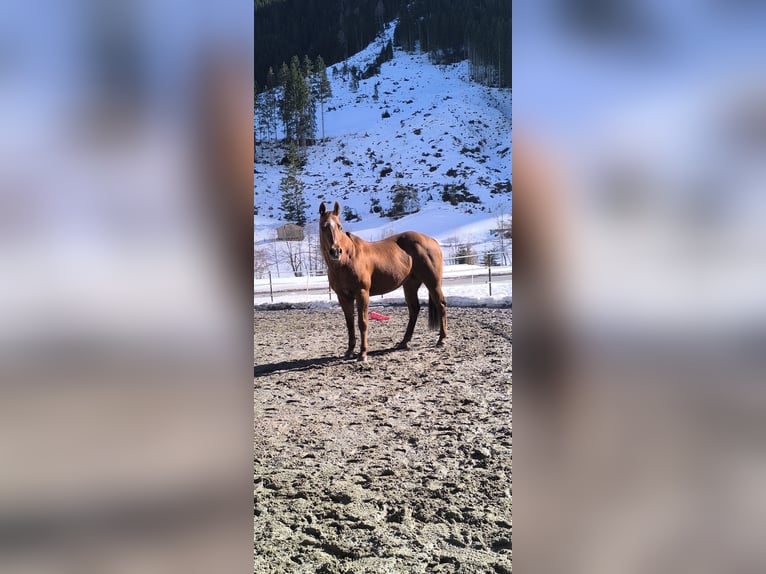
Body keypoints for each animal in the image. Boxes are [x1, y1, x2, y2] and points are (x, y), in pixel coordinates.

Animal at [319, 201, 447, 361]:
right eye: (323, 226)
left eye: (339, 226)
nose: (336, 251)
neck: (348, 259)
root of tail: (432, 240)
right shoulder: (343, 297)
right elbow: (350, 324)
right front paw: (349, 351)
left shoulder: (362, 294)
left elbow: (362, 323)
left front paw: (363, 354)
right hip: (410, 285)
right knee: (414, 310)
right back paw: (403, 342)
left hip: (433, 283)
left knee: (441, 305)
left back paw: (441, 339)